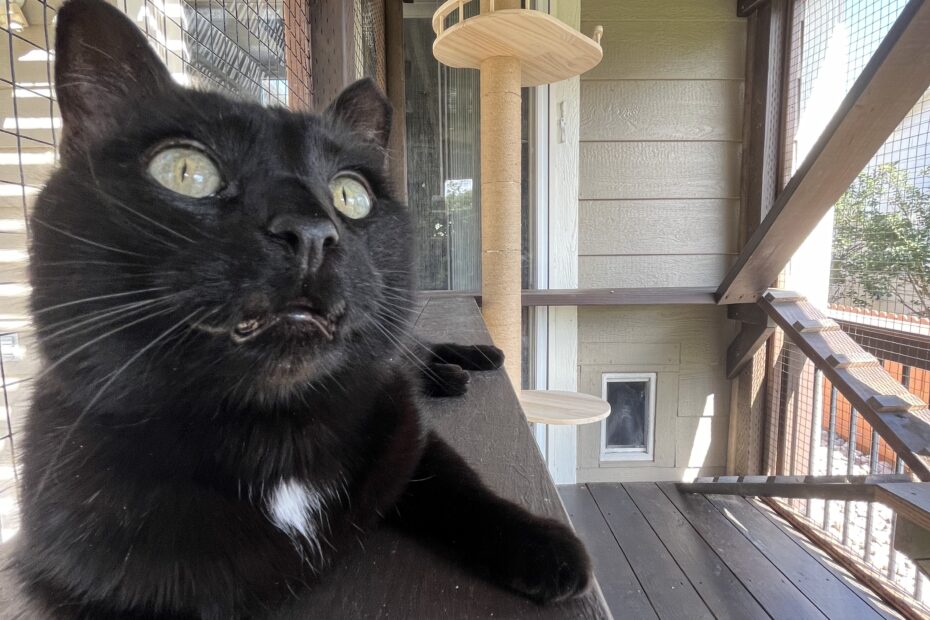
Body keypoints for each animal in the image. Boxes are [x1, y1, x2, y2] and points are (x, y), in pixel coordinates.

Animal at [10, 0, 592, 616]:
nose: (310, 232)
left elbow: (461, 487)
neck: (278, 433)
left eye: (350, 194)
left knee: (414, 347)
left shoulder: (404, 431)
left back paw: (473, 360)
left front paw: (546, 547)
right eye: (184, 171)